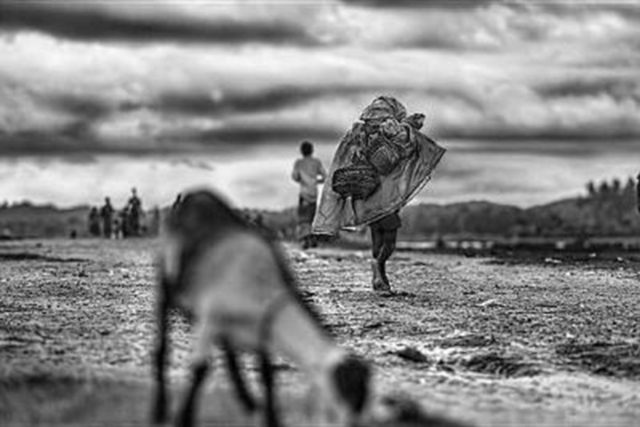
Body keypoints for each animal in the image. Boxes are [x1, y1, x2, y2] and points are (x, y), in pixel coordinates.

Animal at [151, 189, 370, 427]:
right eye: (347, 394)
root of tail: (190, 196)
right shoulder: (211, 315)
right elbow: (200, 368)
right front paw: (183, 419)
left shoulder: (260, 331)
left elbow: (267, 376)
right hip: (168, 280)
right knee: (163, 338)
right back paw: (160, 408)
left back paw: (247, 401)